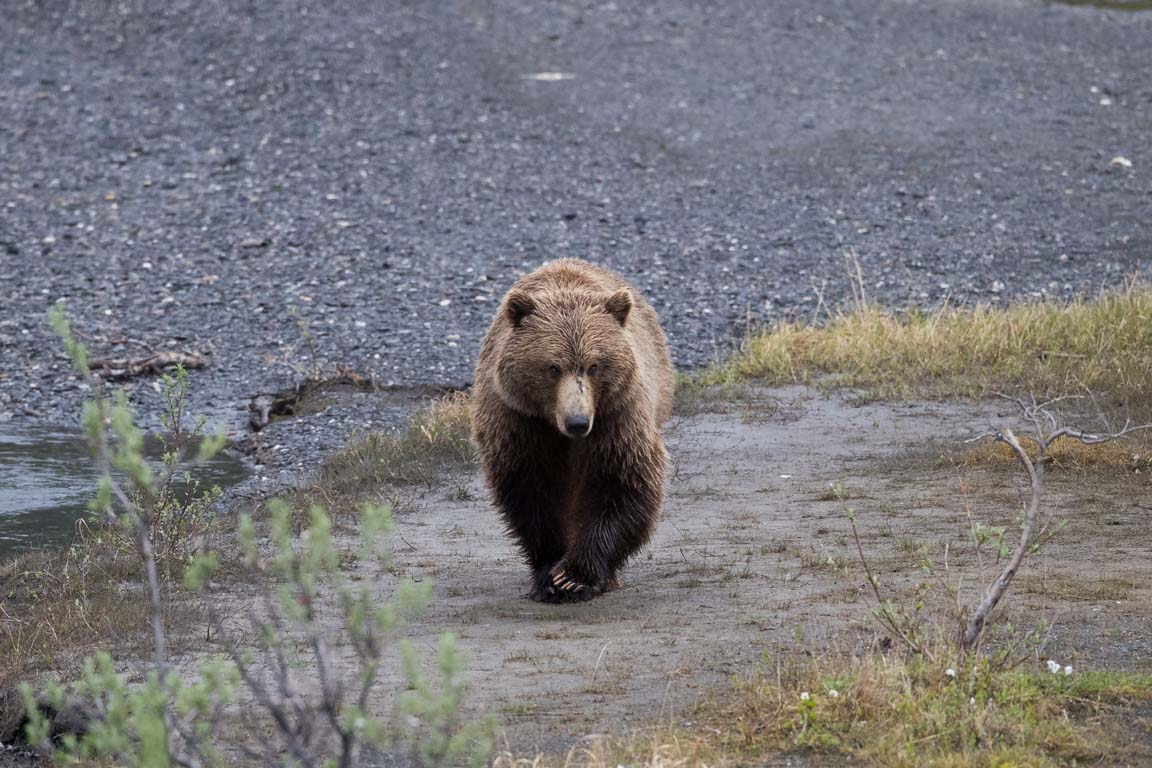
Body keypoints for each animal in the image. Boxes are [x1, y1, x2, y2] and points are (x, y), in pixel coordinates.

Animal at [470, 261, 672, 603]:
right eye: (552, 367)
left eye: (594, 365)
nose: (577, 422)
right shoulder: (519, 421)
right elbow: (531, 492)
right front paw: (550, 574)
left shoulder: (616, 418)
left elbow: (624, 483)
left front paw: (575, 576)